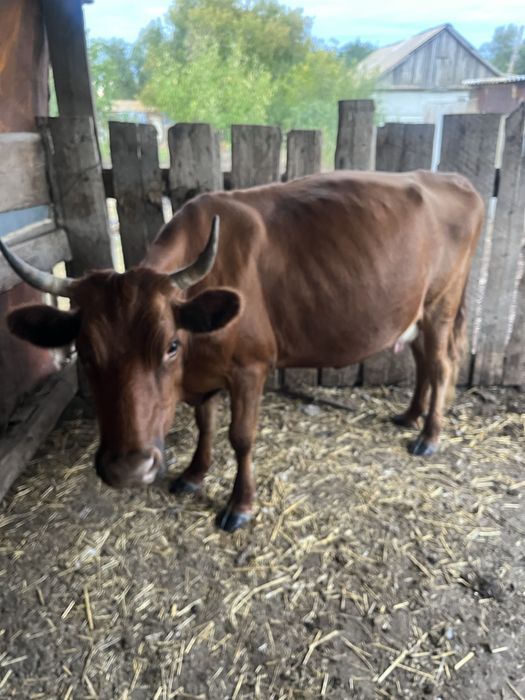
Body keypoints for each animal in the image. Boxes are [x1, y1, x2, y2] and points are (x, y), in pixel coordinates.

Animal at [0, 170, 483, 531]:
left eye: (170, 345)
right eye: (83, 352)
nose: (129, 470)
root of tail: (455, 180)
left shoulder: (251, 368)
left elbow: (241, 437)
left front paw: (240, 505)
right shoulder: (204, 375)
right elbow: (205, 424)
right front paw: (194, 475)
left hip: (441, 304)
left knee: (442, 366)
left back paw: (429, 436)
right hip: (416, 312)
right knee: (423, 362)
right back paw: (409, 416)